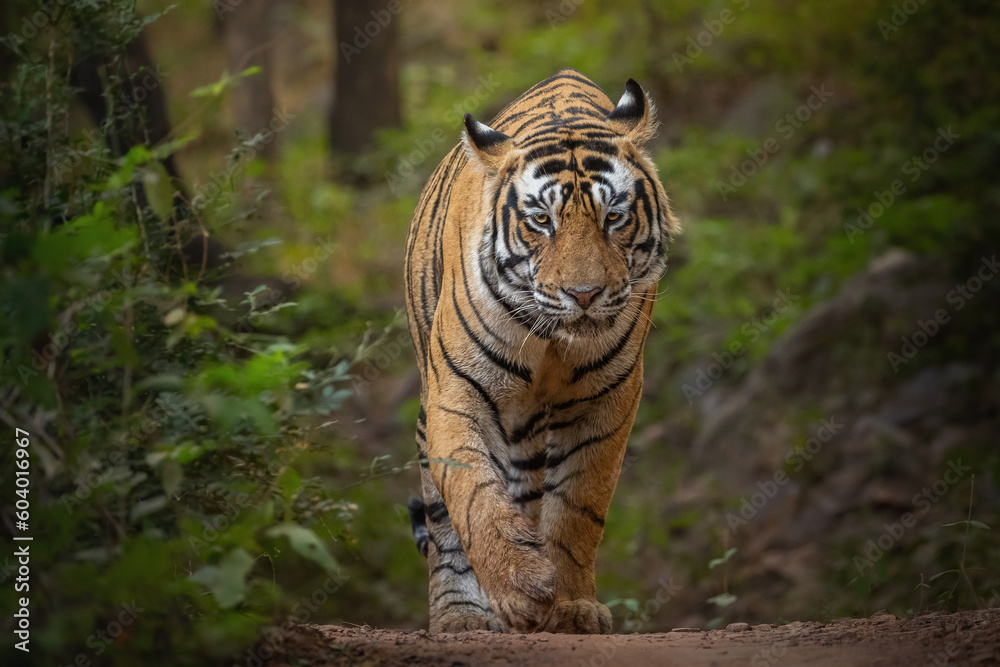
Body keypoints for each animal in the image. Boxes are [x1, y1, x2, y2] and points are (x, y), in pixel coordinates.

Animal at [403, 68, 679, 635]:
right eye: (542, 221)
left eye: (613, 217)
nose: (584, 294)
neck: (553, 340)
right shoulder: (456, 394)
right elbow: (474, 495)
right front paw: (518, 586)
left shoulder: (608, 402)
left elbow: (577, 508)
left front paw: (570, 605)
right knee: (443, 520)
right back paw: (460, 616)